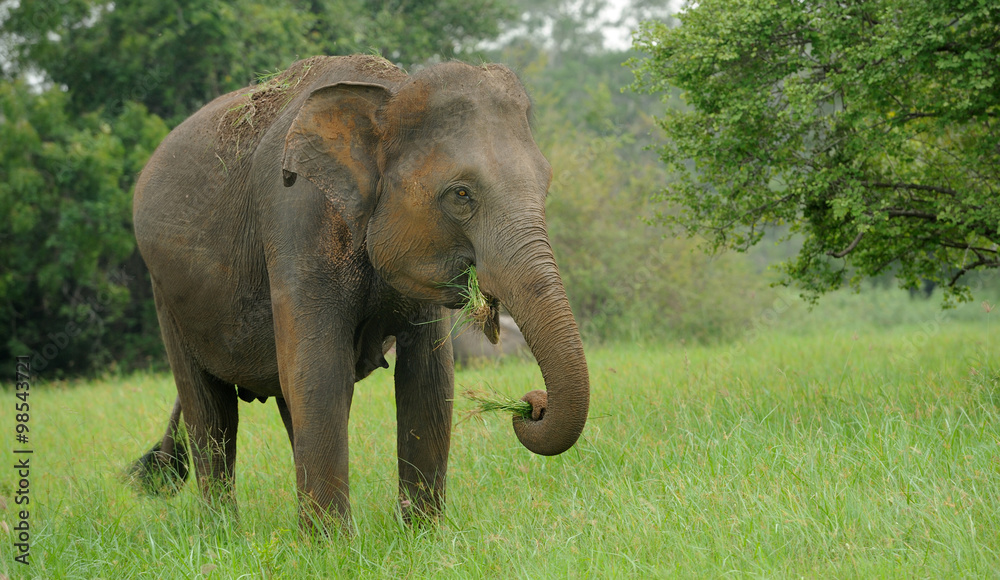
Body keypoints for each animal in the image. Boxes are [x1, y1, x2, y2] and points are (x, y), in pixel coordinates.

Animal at [129, 55, 590, 529]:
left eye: (546, 185)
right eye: (461, 194)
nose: (531, 405)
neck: (390, 93)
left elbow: (428, 378)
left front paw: (423, 534)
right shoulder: (295, 216)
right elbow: (321, 372)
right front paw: (332, 543)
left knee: (284, 401)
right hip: (166, 293)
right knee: (211, 412)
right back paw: (225, 531)